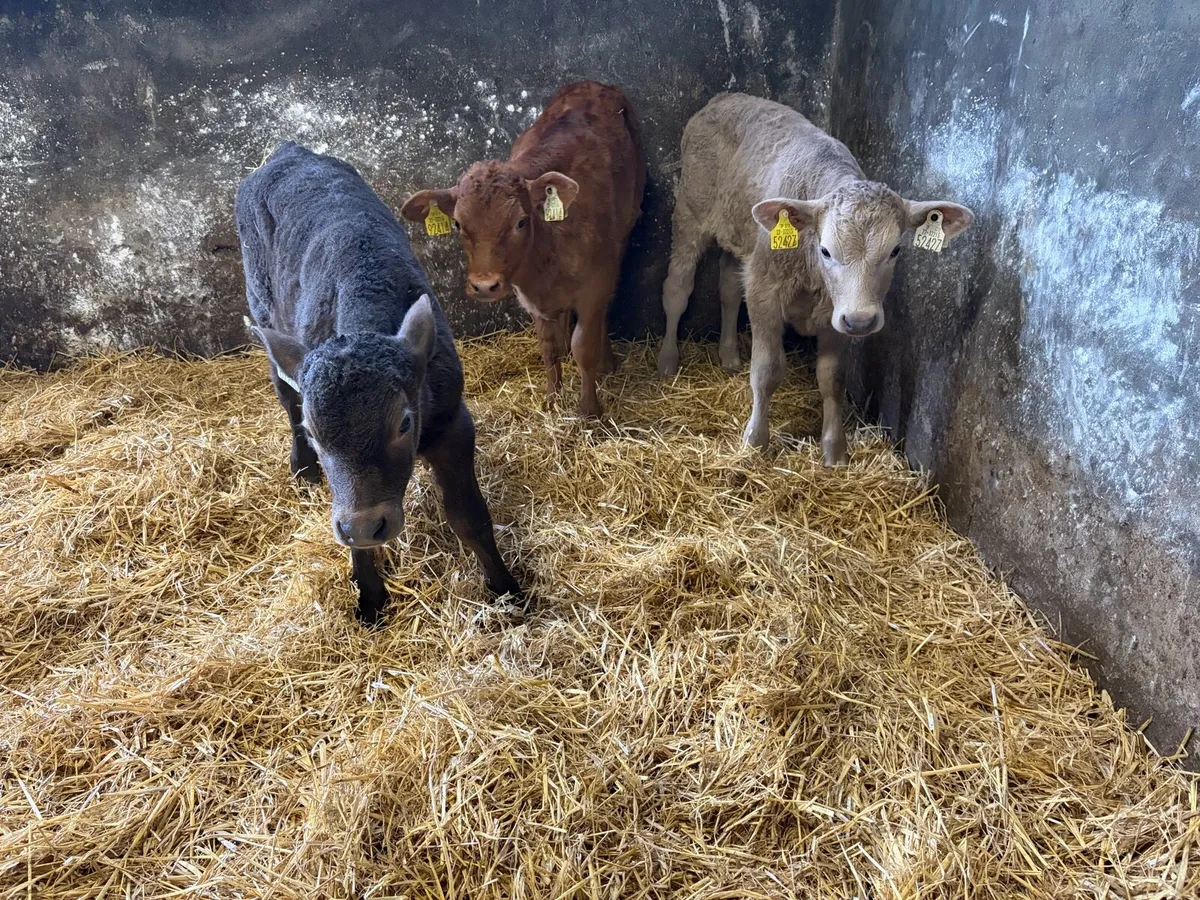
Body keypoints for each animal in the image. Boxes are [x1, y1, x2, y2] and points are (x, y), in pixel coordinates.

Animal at [236, 142, 521, 626]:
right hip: (263, 309)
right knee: (285, 392)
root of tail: (285, 152)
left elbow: (469, 516)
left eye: (404, 423)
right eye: (316, 434)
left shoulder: (452, 420)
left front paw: (508, 590)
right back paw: (301, 468)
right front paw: (369, 595)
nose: (366, 526)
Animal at [400, 81, 646, 419]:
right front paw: (552, 399)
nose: (484, 285)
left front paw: (588, 410)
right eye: (458, 224)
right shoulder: (529, 296)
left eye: (519, 221)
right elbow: (548, 347)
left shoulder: (596, 285)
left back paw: (607, 363)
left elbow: (584, 346)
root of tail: (591, 84)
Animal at [656, 93, 974, 465]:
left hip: (741, 236)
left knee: (730, 288)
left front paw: (835, 450)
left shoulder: (836, 312)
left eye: (895, 250)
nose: (861, 320)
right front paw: (755, 442)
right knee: (677, 289)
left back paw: (729, 355)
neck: (812, 275)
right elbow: (766, 370)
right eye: (825, 250)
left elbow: (833, 379)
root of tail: (726, 97)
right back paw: (668, 360)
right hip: (689, 212)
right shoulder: (765, 290)